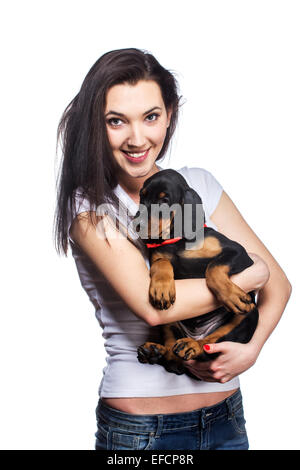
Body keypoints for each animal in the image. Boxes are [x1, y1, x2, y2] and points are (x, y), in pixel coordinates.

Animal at [134, 167, 258, 376]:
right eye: (142, 196)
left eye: (164, 200)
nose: (136, 225)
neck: (178, 239)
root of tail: (196, 334)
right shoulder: (159, 257)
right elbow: (163, 263)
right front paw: (162, 288)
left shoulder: (238, 252)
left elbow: (213, 267)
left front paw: (231, 295)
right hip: (167, 321)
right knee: (173, 360)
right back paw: (154, 351)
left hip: (247, 315)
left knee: (210, 347)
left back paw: (191, 346)